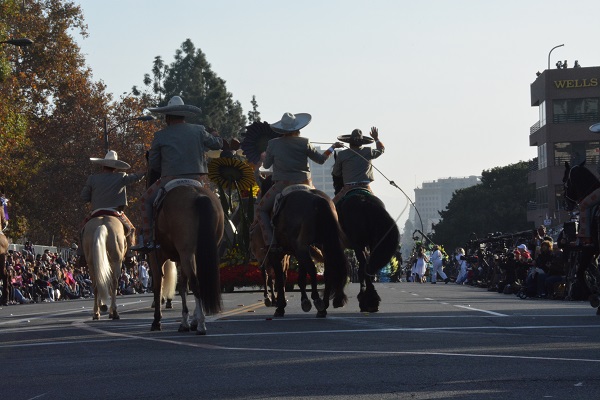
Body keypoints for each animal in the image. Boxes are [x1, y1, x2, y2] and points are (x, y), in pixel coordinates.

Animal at [148, 183, 225, 332]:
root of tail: (197, 194)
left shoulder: (156, 259)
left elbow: (158, 286)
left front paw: (157, 320)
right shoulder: (183, 258)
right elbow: (183, 286)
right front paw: (185, 321)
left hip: (186, 253)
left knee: (195, 283)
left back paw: (201, 324)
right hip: (198, 252)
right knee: (197, 281)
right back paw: (197, 320)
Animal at [264, 188, 350, 318]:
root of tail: (319, 201)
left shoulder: (278, 255)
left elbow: (280, 279)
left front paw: (280, 307)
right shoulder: (297, 253)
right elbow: (301, 277)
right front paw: (304, 301)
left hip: (302, 248)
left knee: (313, 269)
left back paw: (317, 299)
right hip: (324, 246)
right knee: (328, 272)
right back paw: (324, 306)